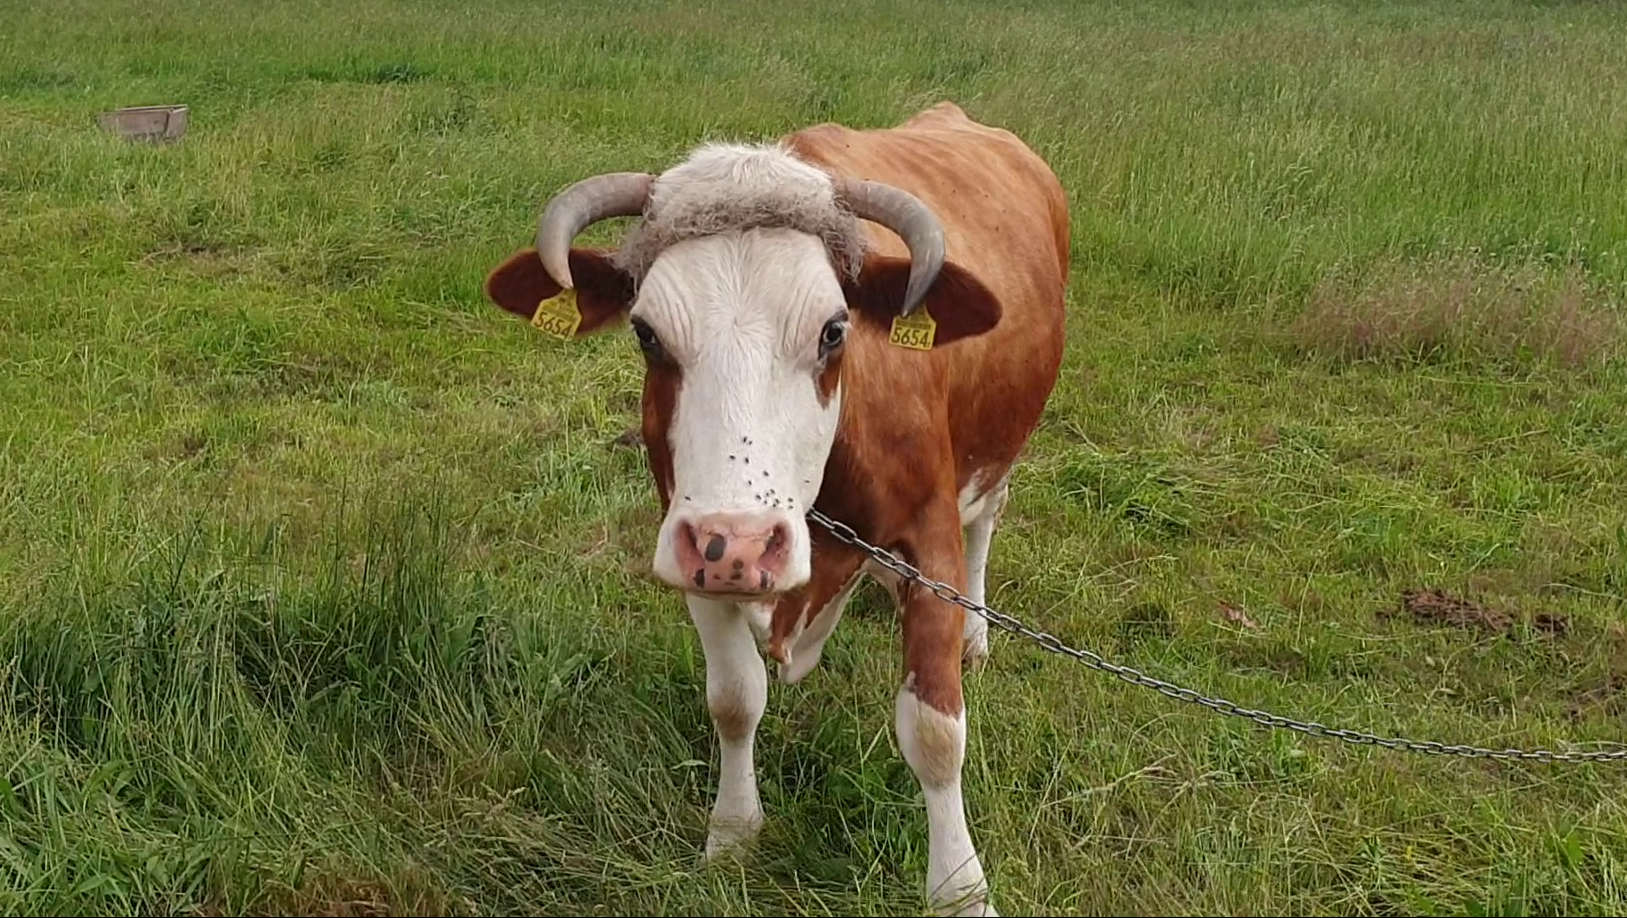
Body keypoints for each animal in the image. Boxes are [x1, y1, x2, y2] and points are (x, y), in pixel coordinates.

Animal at [475, 102, 1073, 918]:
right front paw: (731, 834)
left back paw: (978, 634)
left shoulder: (931, 543)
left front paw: (959, 889)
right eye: (646, 333)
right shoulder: (693, 550)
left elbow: (935, 732)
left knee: (990, 514)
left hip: (1002, 449)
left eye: (833, 330)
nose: (745, 543)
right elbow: (734, 700)